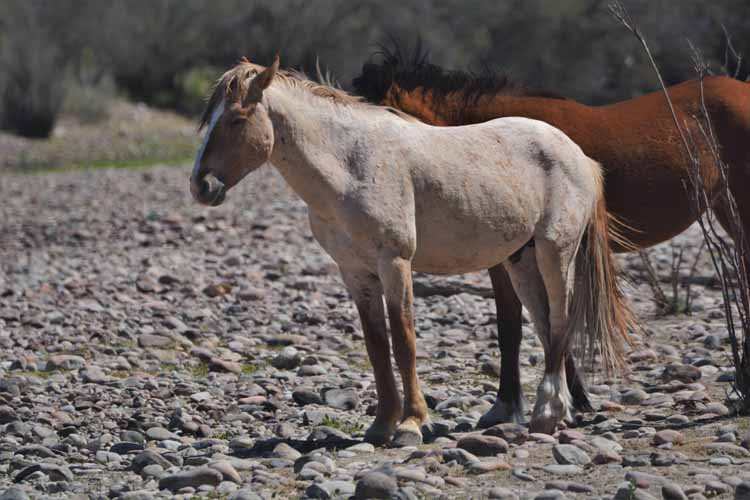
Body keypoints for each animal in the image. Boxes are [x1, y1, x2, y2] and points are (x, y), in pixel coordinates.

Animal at [189, 55, 636, 446]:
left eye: (236, 118)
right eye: (209, 119)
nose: (201, 186)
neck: (351, 164)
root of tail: (579, 155)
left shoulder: (395, 262)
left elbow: (404, 341)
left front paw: (411, 424)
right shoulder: (356, 273)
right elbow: (376, 345)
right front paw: (381, 424)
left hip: (554, 252)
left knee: (561, 320)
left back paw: (547, 413)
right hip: (521, 261)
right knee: (546, 324)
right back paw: (560, 411)